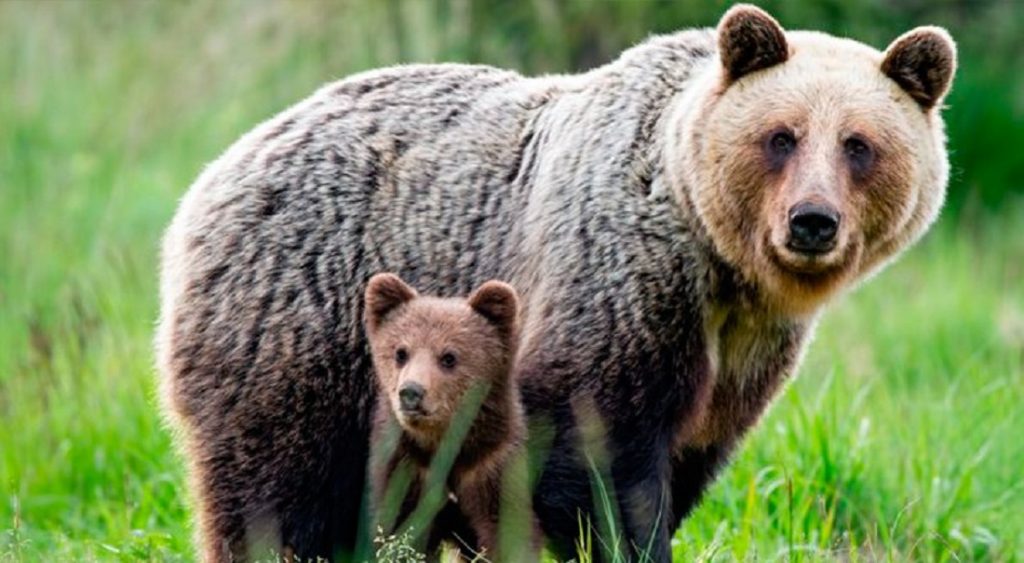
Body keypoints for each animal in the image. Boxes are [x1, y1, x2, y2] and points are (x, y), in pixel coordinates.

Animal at [363, 273, 537, 561]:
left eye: (449, 357)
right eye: (401, 352)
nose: (411, 392)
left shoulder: (491, 466)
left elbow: (507, 533)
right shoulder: (406, 469)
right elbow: (401, 532)